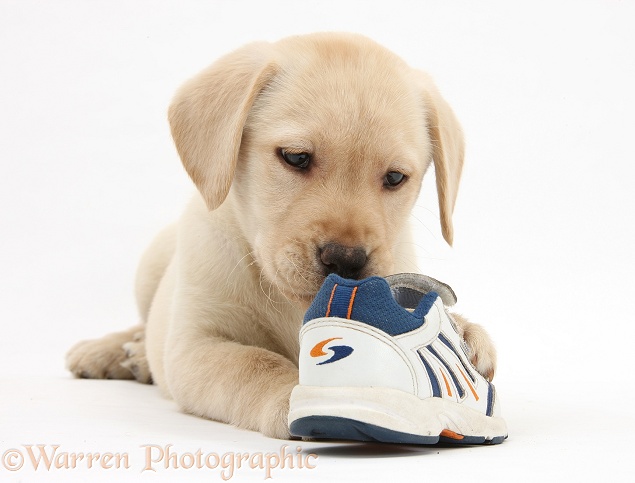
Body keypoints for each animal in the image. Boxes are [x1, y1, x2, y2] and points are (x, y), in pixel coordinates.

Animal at [68, 32, 496, 440]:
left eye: (394, 178)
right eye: (295, 157)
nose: (345, 260)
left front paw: (466, 334)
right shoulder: (195, 345)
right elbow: (256, 363)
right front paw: (297, 398)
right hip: (151, 267)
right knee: (143, 324)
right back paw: (116, 352)